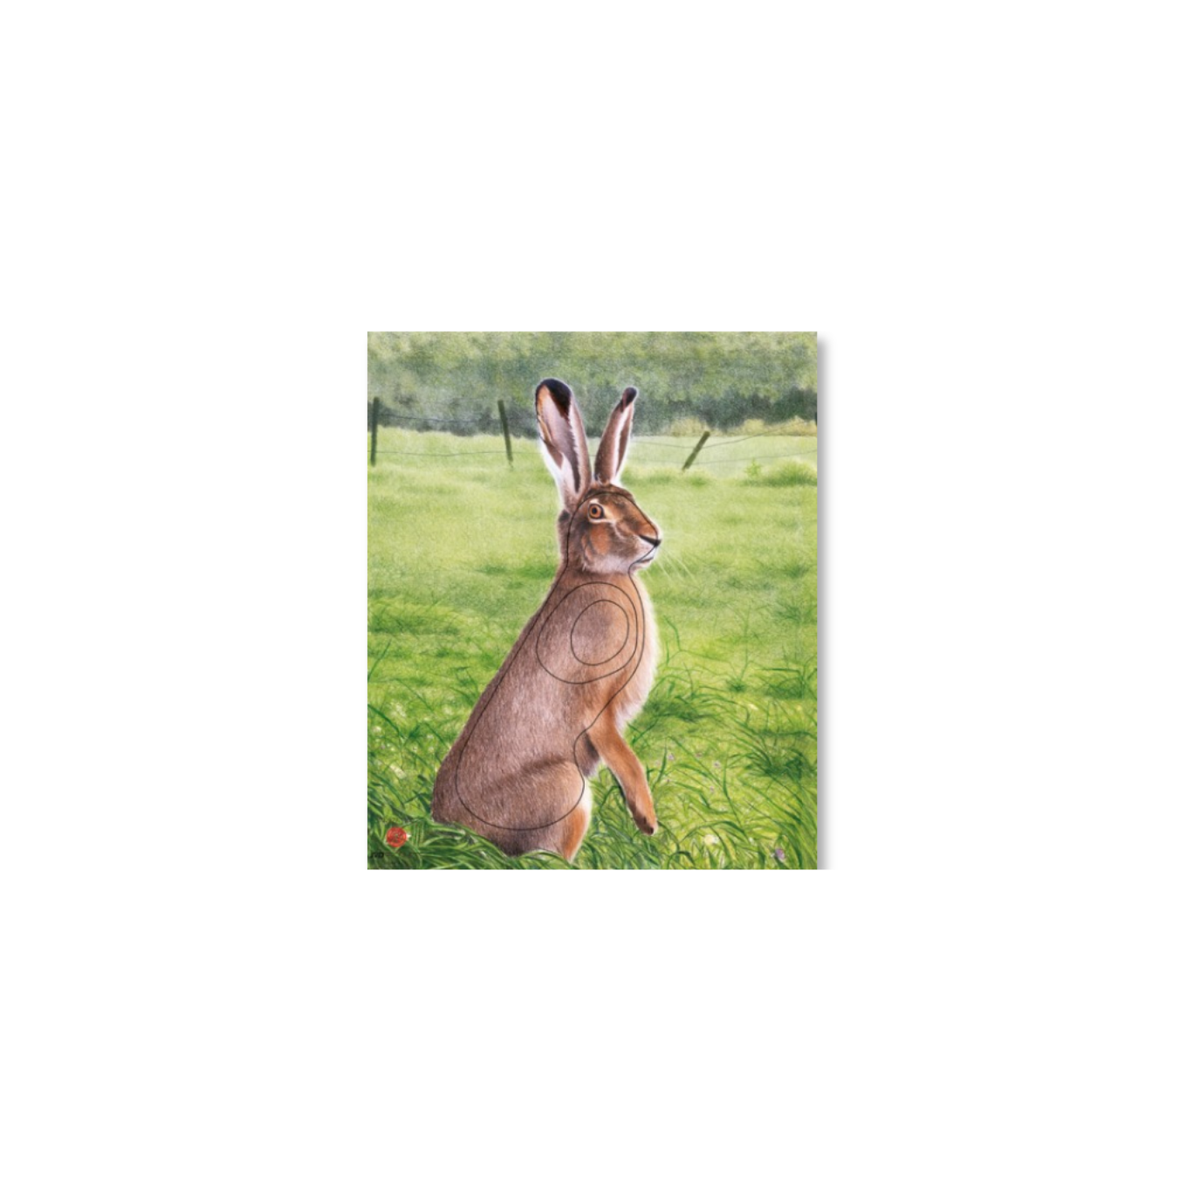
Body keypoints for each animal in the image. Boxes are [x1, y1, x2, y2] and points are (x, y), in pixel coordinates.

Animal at [431, 378, 662, 861]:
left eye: (631, 498)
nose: (654, 538)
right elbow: (624, 758)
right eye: (596, 512)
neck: (594, 573)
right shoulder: (599, 709)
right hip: (567, 789)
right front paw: (647, 820)